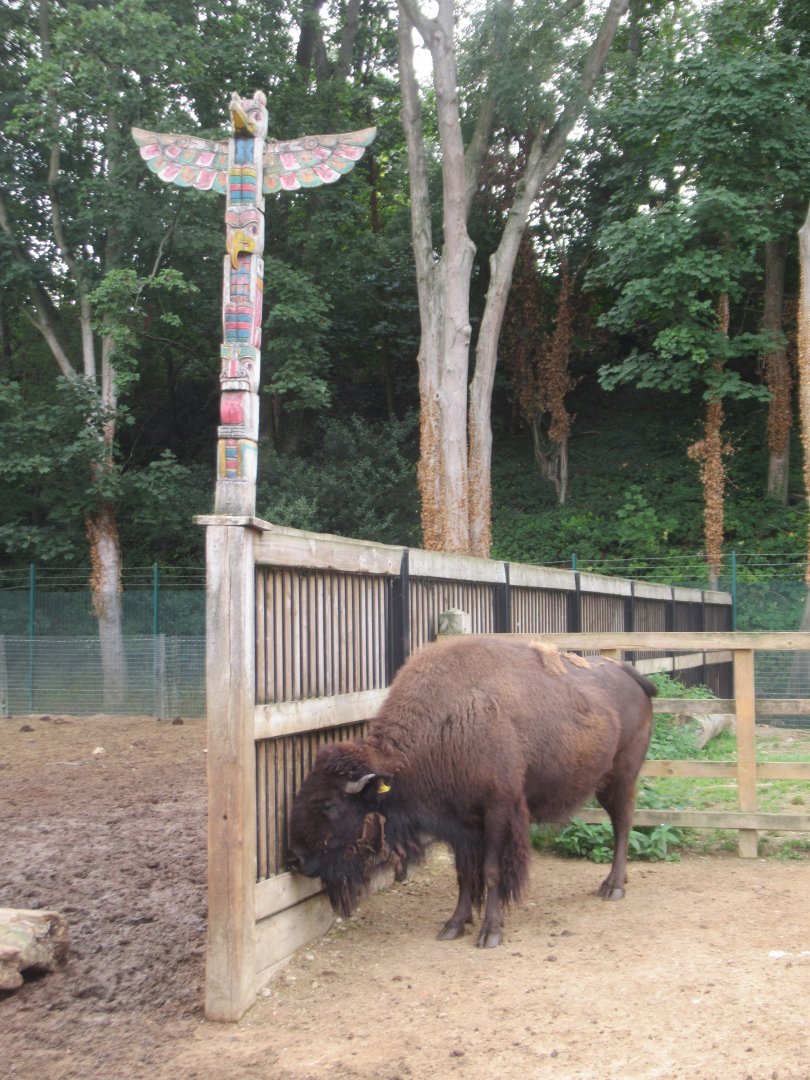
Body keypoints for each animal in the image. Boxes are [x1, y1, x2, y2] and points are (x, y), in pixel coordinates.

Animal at [287, 636, 655, 948]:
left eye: (329, 803)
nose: (296, 857)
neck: (444, 725)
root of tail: (627, 673)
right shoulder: (460, 823)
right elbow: (464, 875)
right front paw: (453, 924)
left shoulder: (497, 812)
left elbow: (491, 873)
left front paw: (490, 932)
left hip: (622, 777)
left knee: (623, 823)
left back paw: (612, 886)